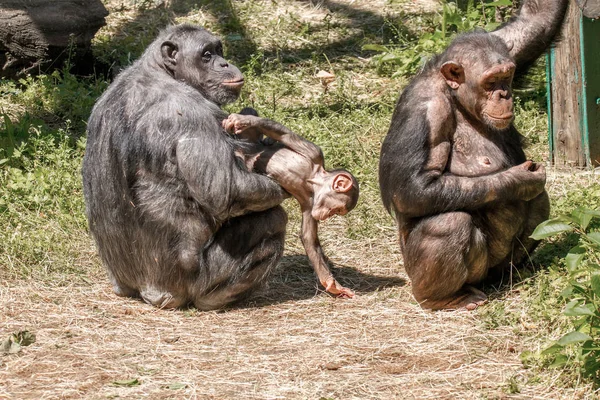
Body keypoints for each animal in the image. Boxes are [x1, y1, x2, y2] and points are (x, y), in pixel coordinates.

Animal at [83, 25, 290, 310]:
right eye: (206, 55)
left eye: (218, 50)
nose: (224, 63)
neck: (160, 71)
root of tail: (154, 294)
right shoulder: (193, 113)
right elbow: (227, 190)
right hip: (191, 282)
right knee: (272, 219)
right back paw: (214, 299)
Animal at [223, 111, 358, 298]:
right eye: (337, 209)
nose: (327, 215)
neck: (312, 181)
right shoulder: (314, 153)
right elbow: (285, 135)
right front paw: (243, 120)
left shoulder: (310, 206)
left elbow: (308, 237)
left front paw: (333, 285)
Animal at [380, 0, 568, 310]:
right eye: (490, 82)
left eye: (506, 75)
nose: (504, 94)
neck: (457, 98)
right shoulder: (423, 110)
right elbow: (411, 189)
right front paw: (520, 180)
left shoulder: (511, 47)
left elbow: (537, 22)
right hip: (428, 274)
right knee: (448, 222)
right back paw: (447, 298)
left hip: (495, 270)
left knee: (539, 201)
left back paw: (514, 273)